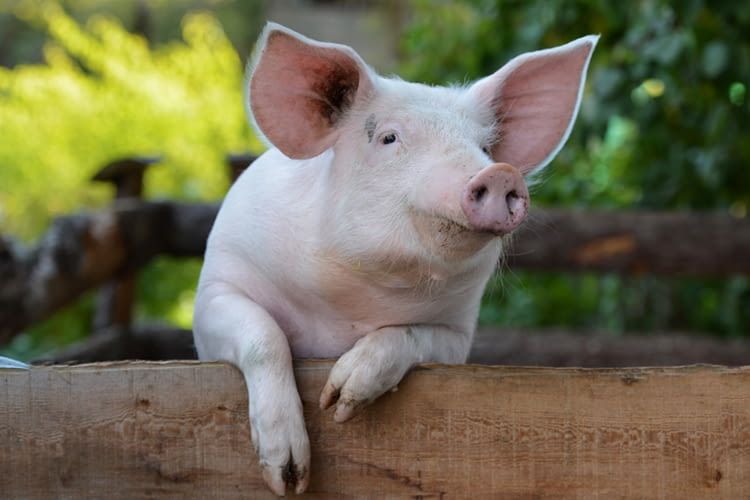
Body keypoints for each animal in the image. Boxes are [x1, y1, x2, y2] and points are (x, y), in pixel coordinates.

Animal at [193, 22, 597, 495]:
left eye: (485, 148)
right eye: (389, 137)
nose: (500, 174)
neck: (346, 307)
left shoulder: (457, 336)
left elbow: (406, 336)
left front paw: (340, 401)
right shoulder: (217, 287)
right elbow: (263, 336)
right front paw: (288, 479)